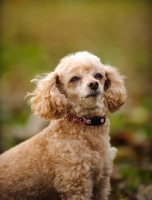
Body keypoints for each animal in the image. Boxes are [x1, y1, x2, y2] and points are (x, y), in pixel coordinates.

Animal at [0, 52, 126, 200]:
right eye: (74, 78)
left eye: (98, 75)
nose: (94, 84)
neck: (83, 123)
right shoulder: (75, 181)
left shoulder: (101, 180)